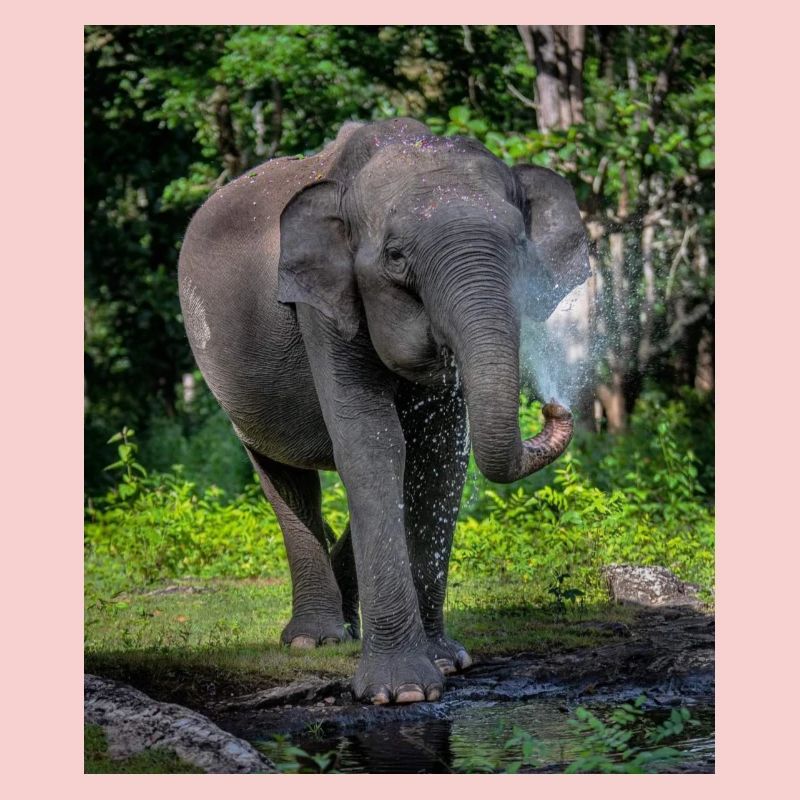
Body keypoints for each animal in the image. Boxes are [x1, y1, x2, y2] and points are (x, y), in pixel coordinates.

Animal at [178, 118, 590, 705]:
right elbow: (374, 443)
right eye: (395, 257)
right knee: (284, 478)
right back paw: (315, 640)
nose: (555, 406)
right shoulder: (322, 303)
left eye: (519, 247)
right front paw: (403, 692)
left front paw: (449, 662)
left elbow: (436, 458)